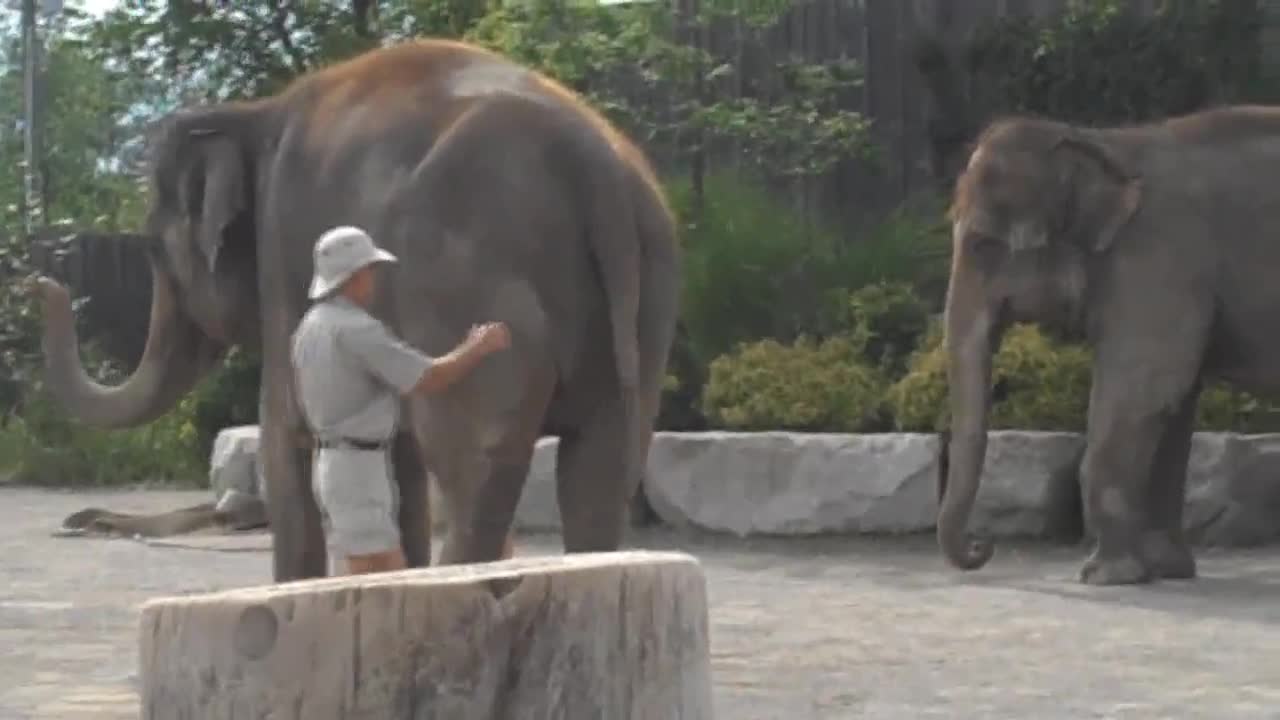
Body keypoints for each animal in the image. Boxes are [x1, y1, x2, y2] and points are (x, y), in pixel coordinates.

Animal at [30, 37, 686, 584]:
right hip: (647, 289)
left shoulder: (284, 256)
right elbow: (398, 453)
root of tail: (590, 161)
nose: (44, 281)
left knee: (477, 468)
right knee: (602, 468)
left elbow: (287, 430)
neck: (253, 112)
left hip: (465, 275)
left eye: (152, 247)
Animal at [936, 105, 1280, 584]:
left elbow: (1143, 390)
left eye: (983, 245)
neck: (1102, 142)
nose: (981, 546)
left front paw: (1104, 575)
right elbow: (1172, 405)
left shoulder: (1158, 260)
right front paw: (1165, 568)